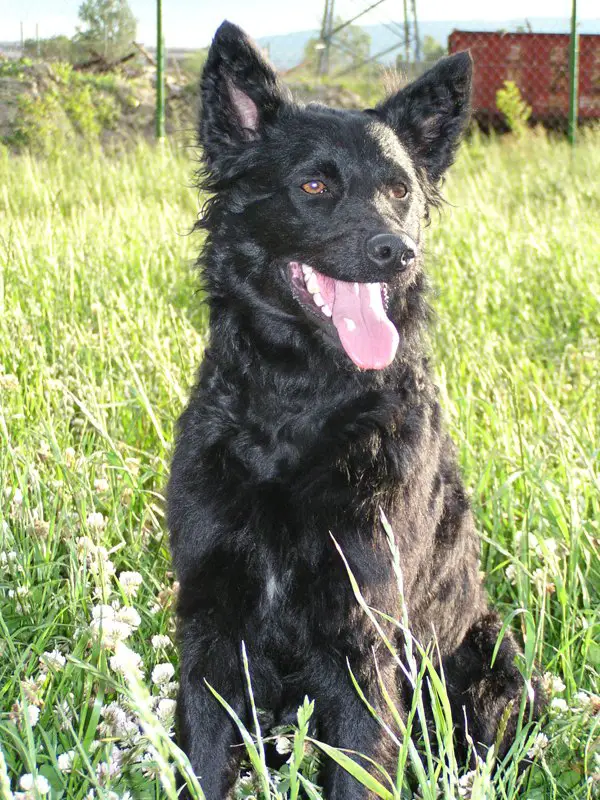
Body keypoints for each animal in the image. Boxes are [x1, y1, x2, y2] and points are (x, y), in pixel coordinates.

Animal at [168, 21, 544, 796]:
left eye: (400, 190)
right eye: (314, 185)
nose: (396, 252)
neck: (299, 409)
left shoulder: (362, 642)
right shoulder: (213, 630)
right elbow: (204, 761)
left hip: (492, 679)